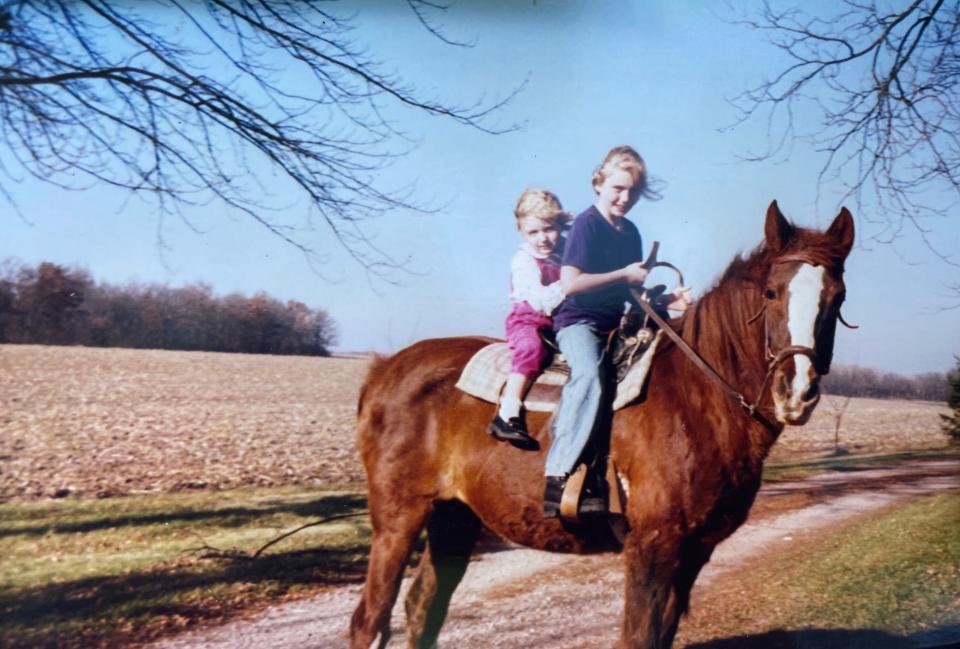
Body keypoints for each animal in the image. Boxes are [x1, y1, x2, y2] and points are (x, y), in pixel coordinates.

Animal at [350, 200, 856, 644]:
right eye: (771, 293)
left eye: (838, 297)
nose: (797, 390)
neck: (699, 396)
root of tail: (384, 369)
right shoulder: (653, 547)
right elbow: (639, 636)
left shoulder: (694, 551)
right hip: (398, 518)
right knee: (369, 621)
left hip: (453, 516)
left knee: (421, 608)